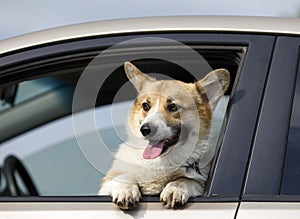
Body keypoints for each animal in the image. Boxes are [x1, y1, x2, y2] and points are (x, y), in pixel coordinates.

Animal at [98, 62, 230, 210]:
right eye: (145, 105)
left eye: (173, 107)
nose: (145, 129)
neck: (159, 162)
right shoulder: (110, 180)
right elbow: (124, 177)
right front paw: (126, 191)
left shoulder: (198, 181)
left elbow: (184, 179)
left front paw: (175, 189)